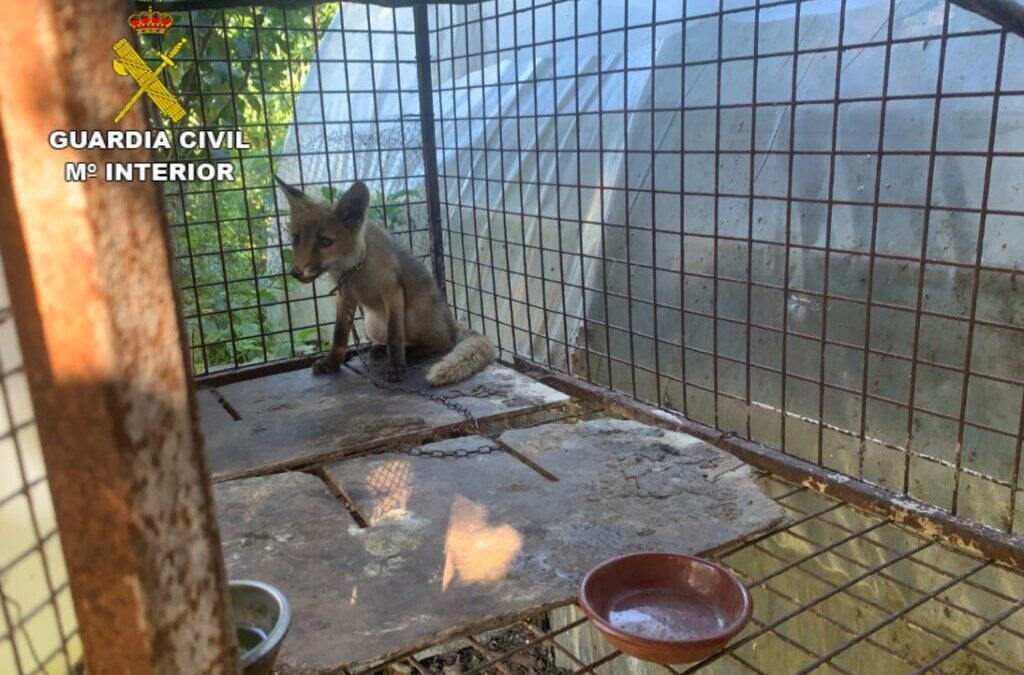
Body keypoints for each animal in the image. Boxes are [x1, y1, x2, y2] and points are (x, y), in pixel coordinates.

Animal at [275, 177, 497, 385]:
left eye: (324, 242)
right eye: (295, 239)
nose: (296, 272)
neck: (356, 269)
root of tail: (451, 323)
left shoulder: (393, 291)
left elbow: (394, 337)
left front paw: (397, 366)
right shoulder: (345, 296)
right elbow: (339, 336)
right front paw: (332, 363)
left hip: (413, 315)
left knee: (441, 344)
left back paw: (409, 353)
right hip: (371, 324)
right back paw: (382, 350)